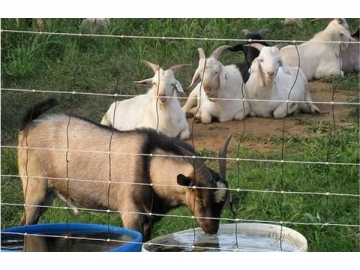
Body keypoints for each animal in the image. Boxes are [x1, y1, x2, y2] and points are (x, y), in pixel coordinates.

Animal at [16, 98, 231, 242]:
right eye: (201, 201)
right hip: (35, 189)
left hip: (47, 195)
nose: (212, 229)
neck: (148, 164)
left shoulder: (148, 220)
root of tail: (28, 127)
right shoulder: (131, 215)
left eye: (223, 204)